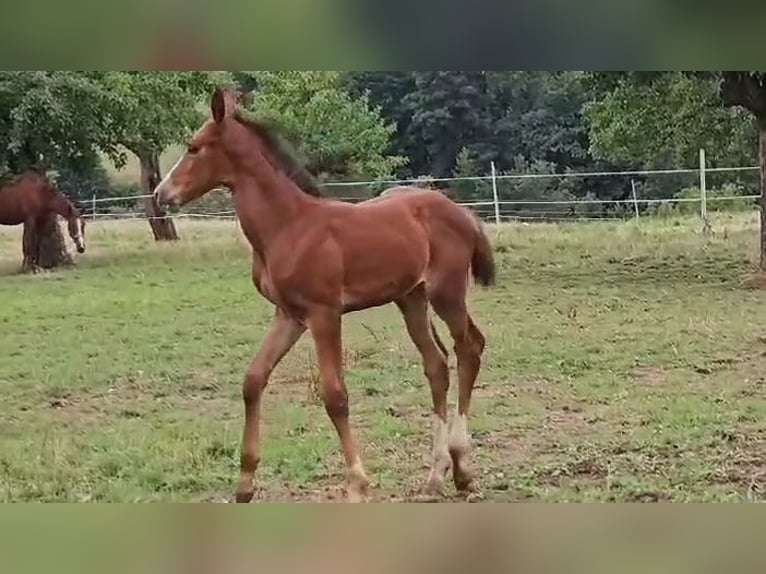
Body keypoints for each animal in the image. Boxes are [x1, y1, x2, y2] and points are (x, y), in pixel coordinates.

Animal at [153, 89, 498, 504]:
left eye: (194, 147)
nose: (160, 195)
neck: (289, 225)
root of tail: (464, 213)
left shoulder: (324, 314)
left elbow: (335, 395)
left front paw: (357, 484)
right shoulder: (288, 315)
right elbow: (253, 380)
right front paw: (245, 483)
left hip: (446, 292)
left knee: (469, 349)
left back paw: (461, 467)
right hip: (410, 298)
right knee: (437, 364)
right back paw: (435, 474)